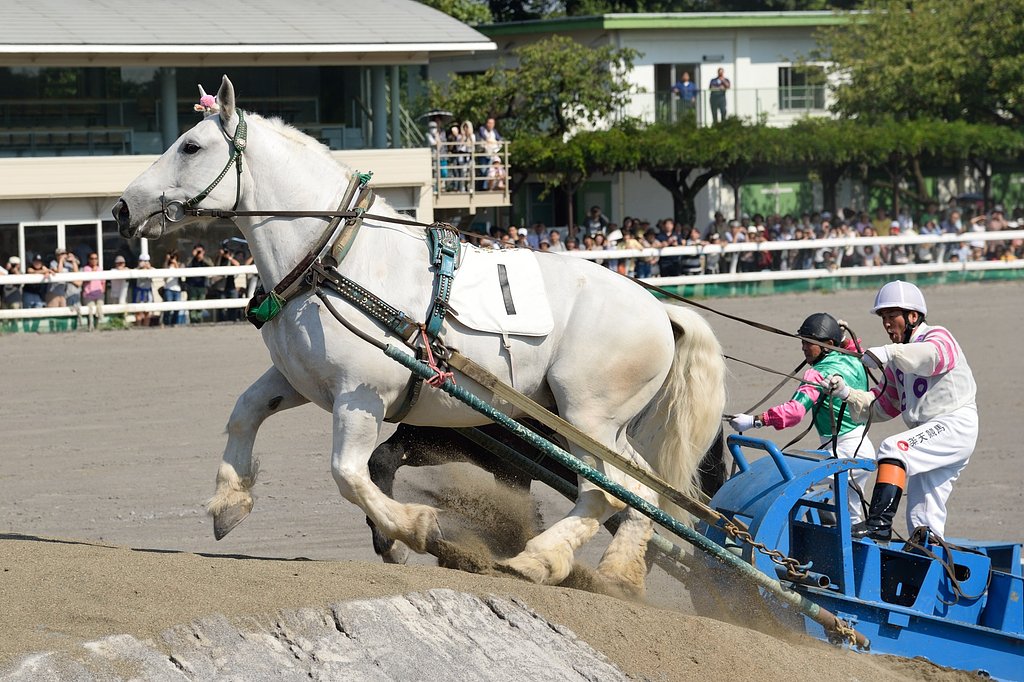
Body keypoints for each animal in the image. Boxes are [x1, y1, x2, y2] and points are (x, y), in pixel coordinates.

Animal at [112, 75, 727, 595]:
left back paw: (536, 560)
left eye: (191, 147)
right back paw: (616, 572)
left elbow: (348, 473)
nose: (121, 208)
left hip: (588, 416)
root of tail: (658, 308)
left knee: (605, 491)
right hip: (597, 426)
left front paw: (415, 529)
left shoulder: (360, 397)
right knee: (643, 493)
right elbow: (245, 412)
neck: (339, 258)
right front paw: (228, 501)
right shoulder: (301, 380)